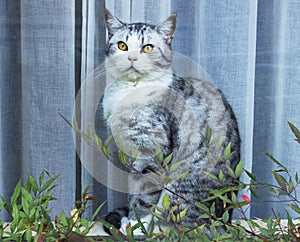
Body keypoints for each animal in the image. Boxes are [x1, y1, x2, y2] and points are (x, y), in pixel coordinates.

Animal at [102, 9, 240, 234]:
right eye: (122, 45)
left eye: (148, 48)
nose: (132, 57)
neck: (130, 90)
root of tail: (223, 221)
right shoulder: (130, 153)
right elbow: (134, 188)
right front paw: (129, 219)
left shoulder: (152, 150)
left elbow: (145, 194)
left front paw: (137, 225)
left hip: (181, 184)